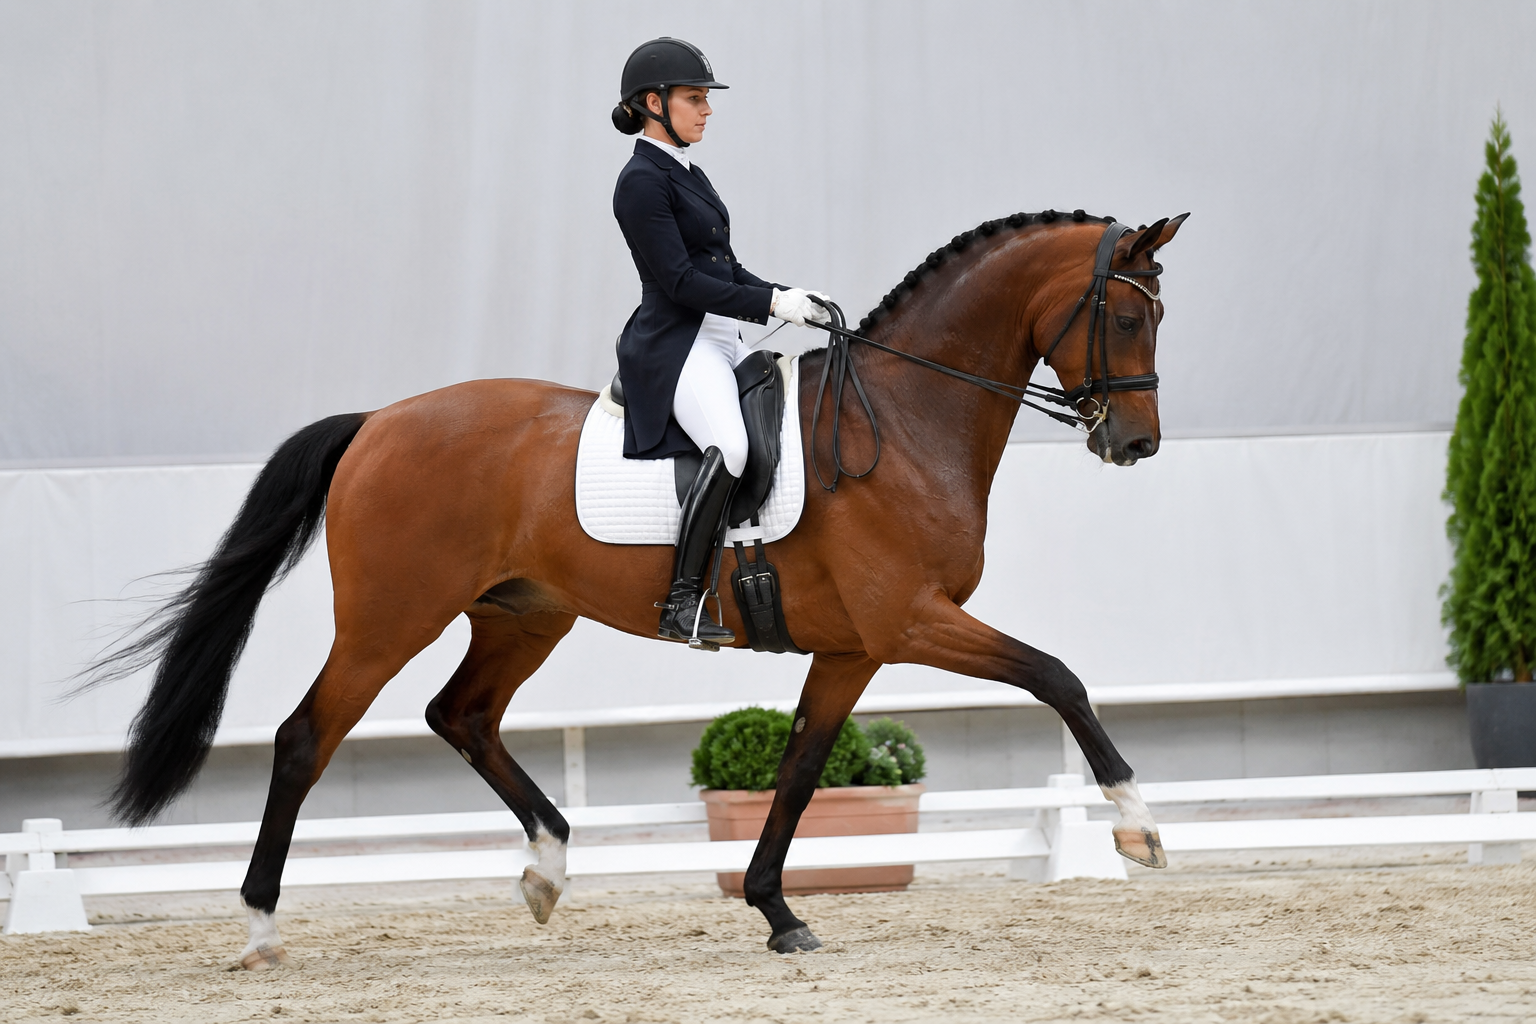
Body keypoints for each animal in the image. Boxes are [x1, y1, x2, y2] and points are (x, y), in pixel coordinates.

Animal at [93, 208, 1187, 969]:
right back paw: (260, 929)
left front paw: (777, 910)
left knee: (463, 714)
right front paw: (1137, 827)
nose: (1136, 445)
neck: (907, 420)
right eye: (1130, 314)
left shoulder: (854, 645)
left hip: (525, 615)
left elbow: (800, 767)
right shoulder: (912, 620)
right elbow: (1056, 674)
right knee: (306, 738)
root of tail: (376, 422)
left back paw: (546, 867)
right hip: (388, 617)